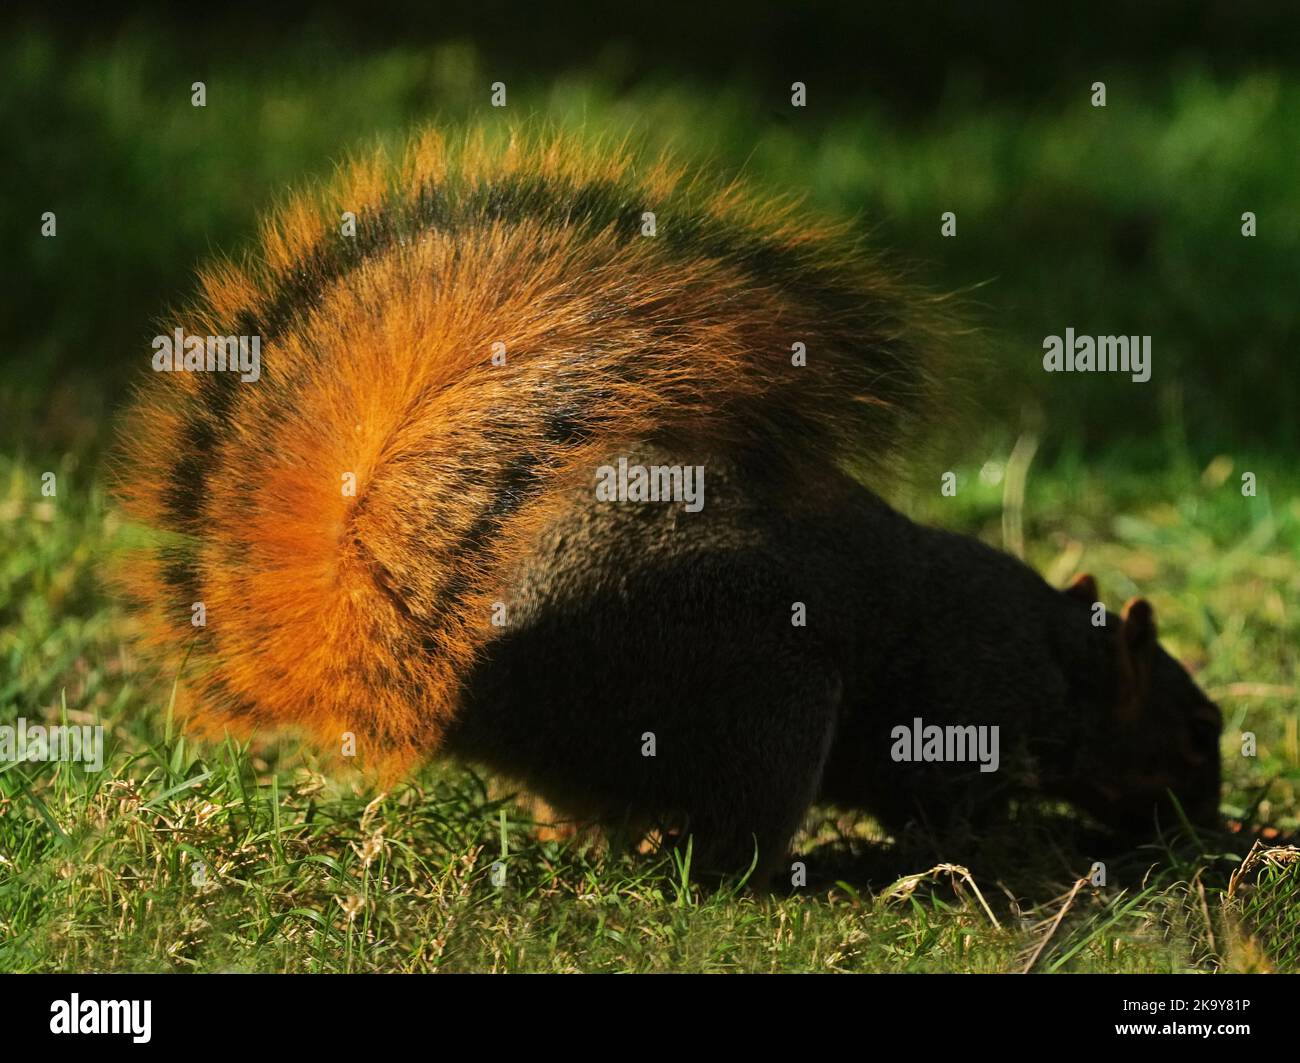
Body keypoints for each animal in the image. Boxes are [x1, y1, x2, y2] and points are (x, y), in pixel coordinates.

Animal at [114, 127, 1223, 885]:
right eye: (1195, 731)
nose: (1208, 827)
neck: (1060, 661)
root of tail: (464, 681)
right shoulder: (960, 716)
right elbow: (950, 808)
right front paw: (1008, 849)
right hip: (770, 703)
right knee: (733, 845)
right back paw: (792, 875)